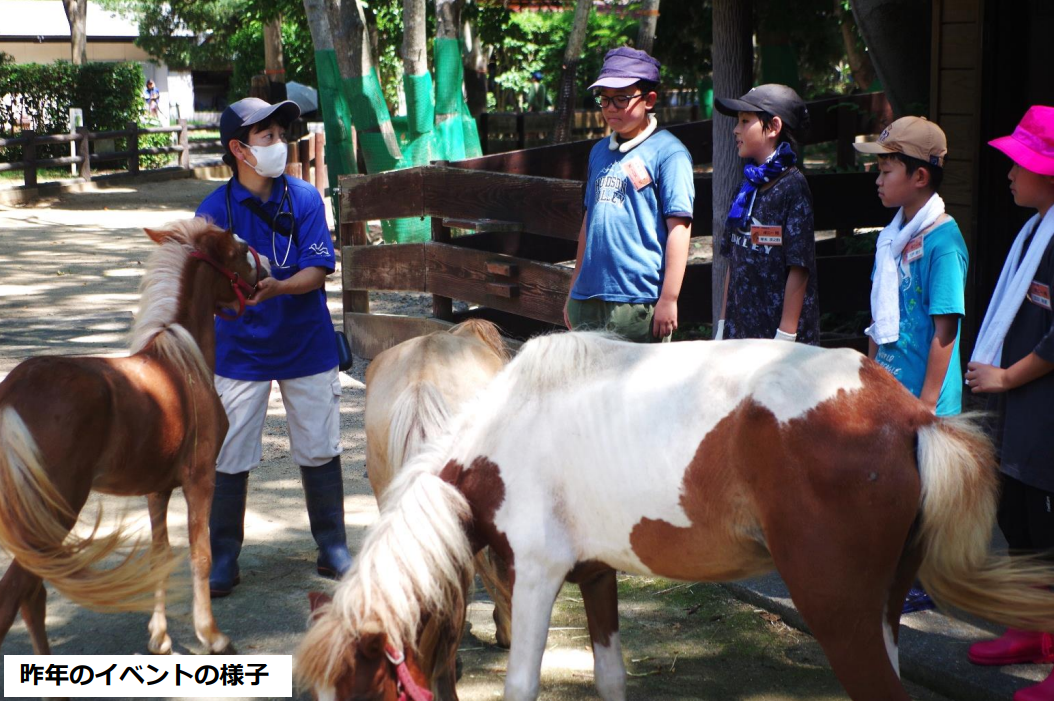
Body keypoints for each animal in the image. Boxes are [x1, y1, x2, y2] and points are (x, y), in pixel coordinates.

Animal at [0, 217, 267, 657]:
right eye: (242, 250)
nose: (266, 274)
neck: (183, 363)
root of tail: (14, 390)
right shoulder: (199, 479)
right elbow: (201, 554)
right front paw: (211, 635)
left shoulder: (156, 490)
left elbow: (161, 554)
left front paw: (160, 638)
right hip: (54, 511)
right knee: (17, 594)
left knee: (30, 594)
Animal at [297, 330, 1054, 695]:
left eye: (361, 690)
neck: (500, 432)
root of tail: (905, 412)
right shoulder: (597, 576)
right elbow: (609, 677)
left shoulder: (537, 577)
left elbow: (521, 682)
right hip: (883, 611)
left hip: (838, 613)